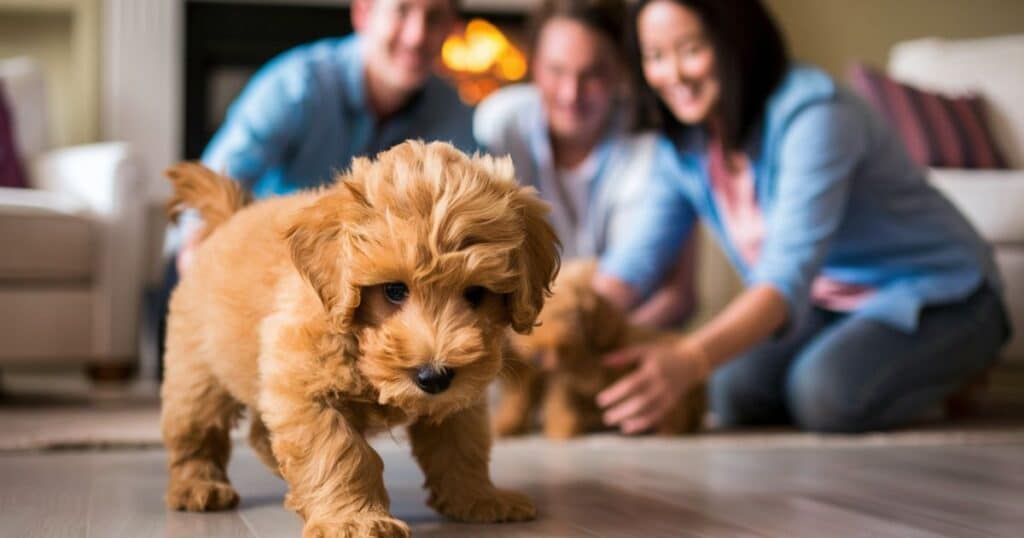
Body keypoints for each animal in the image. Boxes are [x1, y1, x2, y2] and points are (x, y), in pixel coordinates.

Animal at [159, 140, 561, 532]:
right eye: (394, 290)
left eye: (476, 294)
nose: (433, 377)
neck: (360, 344)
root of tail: (231, 217)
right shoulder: (308, 389)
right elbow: (339, 453)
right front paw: (354, 520)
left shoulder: (461, 393)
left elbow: (463, 444)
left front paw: (479, 498)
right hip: (196, 373)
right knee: (195, 431)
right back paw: (198, 486)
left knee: (260, 431)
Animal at [493, 258, 704, 438]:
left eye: (569, 315)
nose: (539, 356)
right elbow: (550, 400)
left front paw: (562, 431)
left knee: (677, 409)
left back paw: (670, 428)